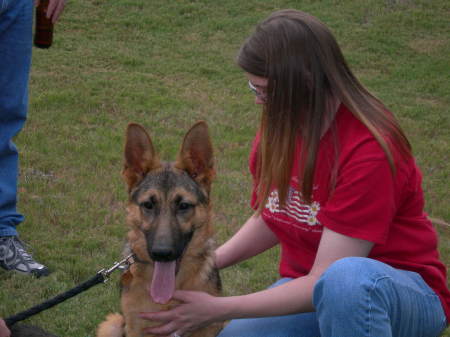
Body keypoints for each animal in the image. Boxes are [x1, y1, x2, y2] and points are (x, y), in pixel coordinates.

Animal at [96, 121, 221, 336]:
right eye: (148, 204)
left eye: (183, 205)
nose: (161, 254)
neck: (168, 299)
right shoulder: (136, 328)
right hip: (110, 324)